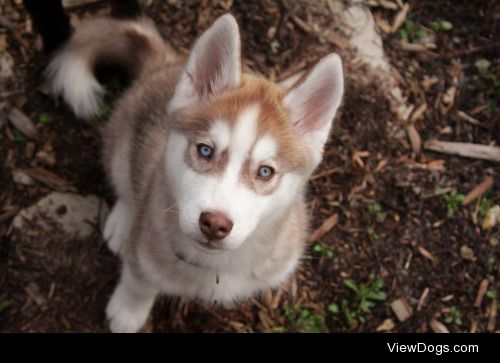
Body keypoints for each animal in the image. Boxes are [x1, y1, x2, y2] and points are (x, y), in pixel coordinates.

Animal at [47, 13, 344, 332]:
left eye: (265, 171)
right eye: (205, 150)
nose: (214, 224)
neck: (217, 267)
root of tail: (164, 63)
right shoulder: (144, 253)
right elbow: (139, 284)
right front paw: (127, 312)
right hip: (120, 143)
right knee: (125, 183)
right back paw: (123, 221)